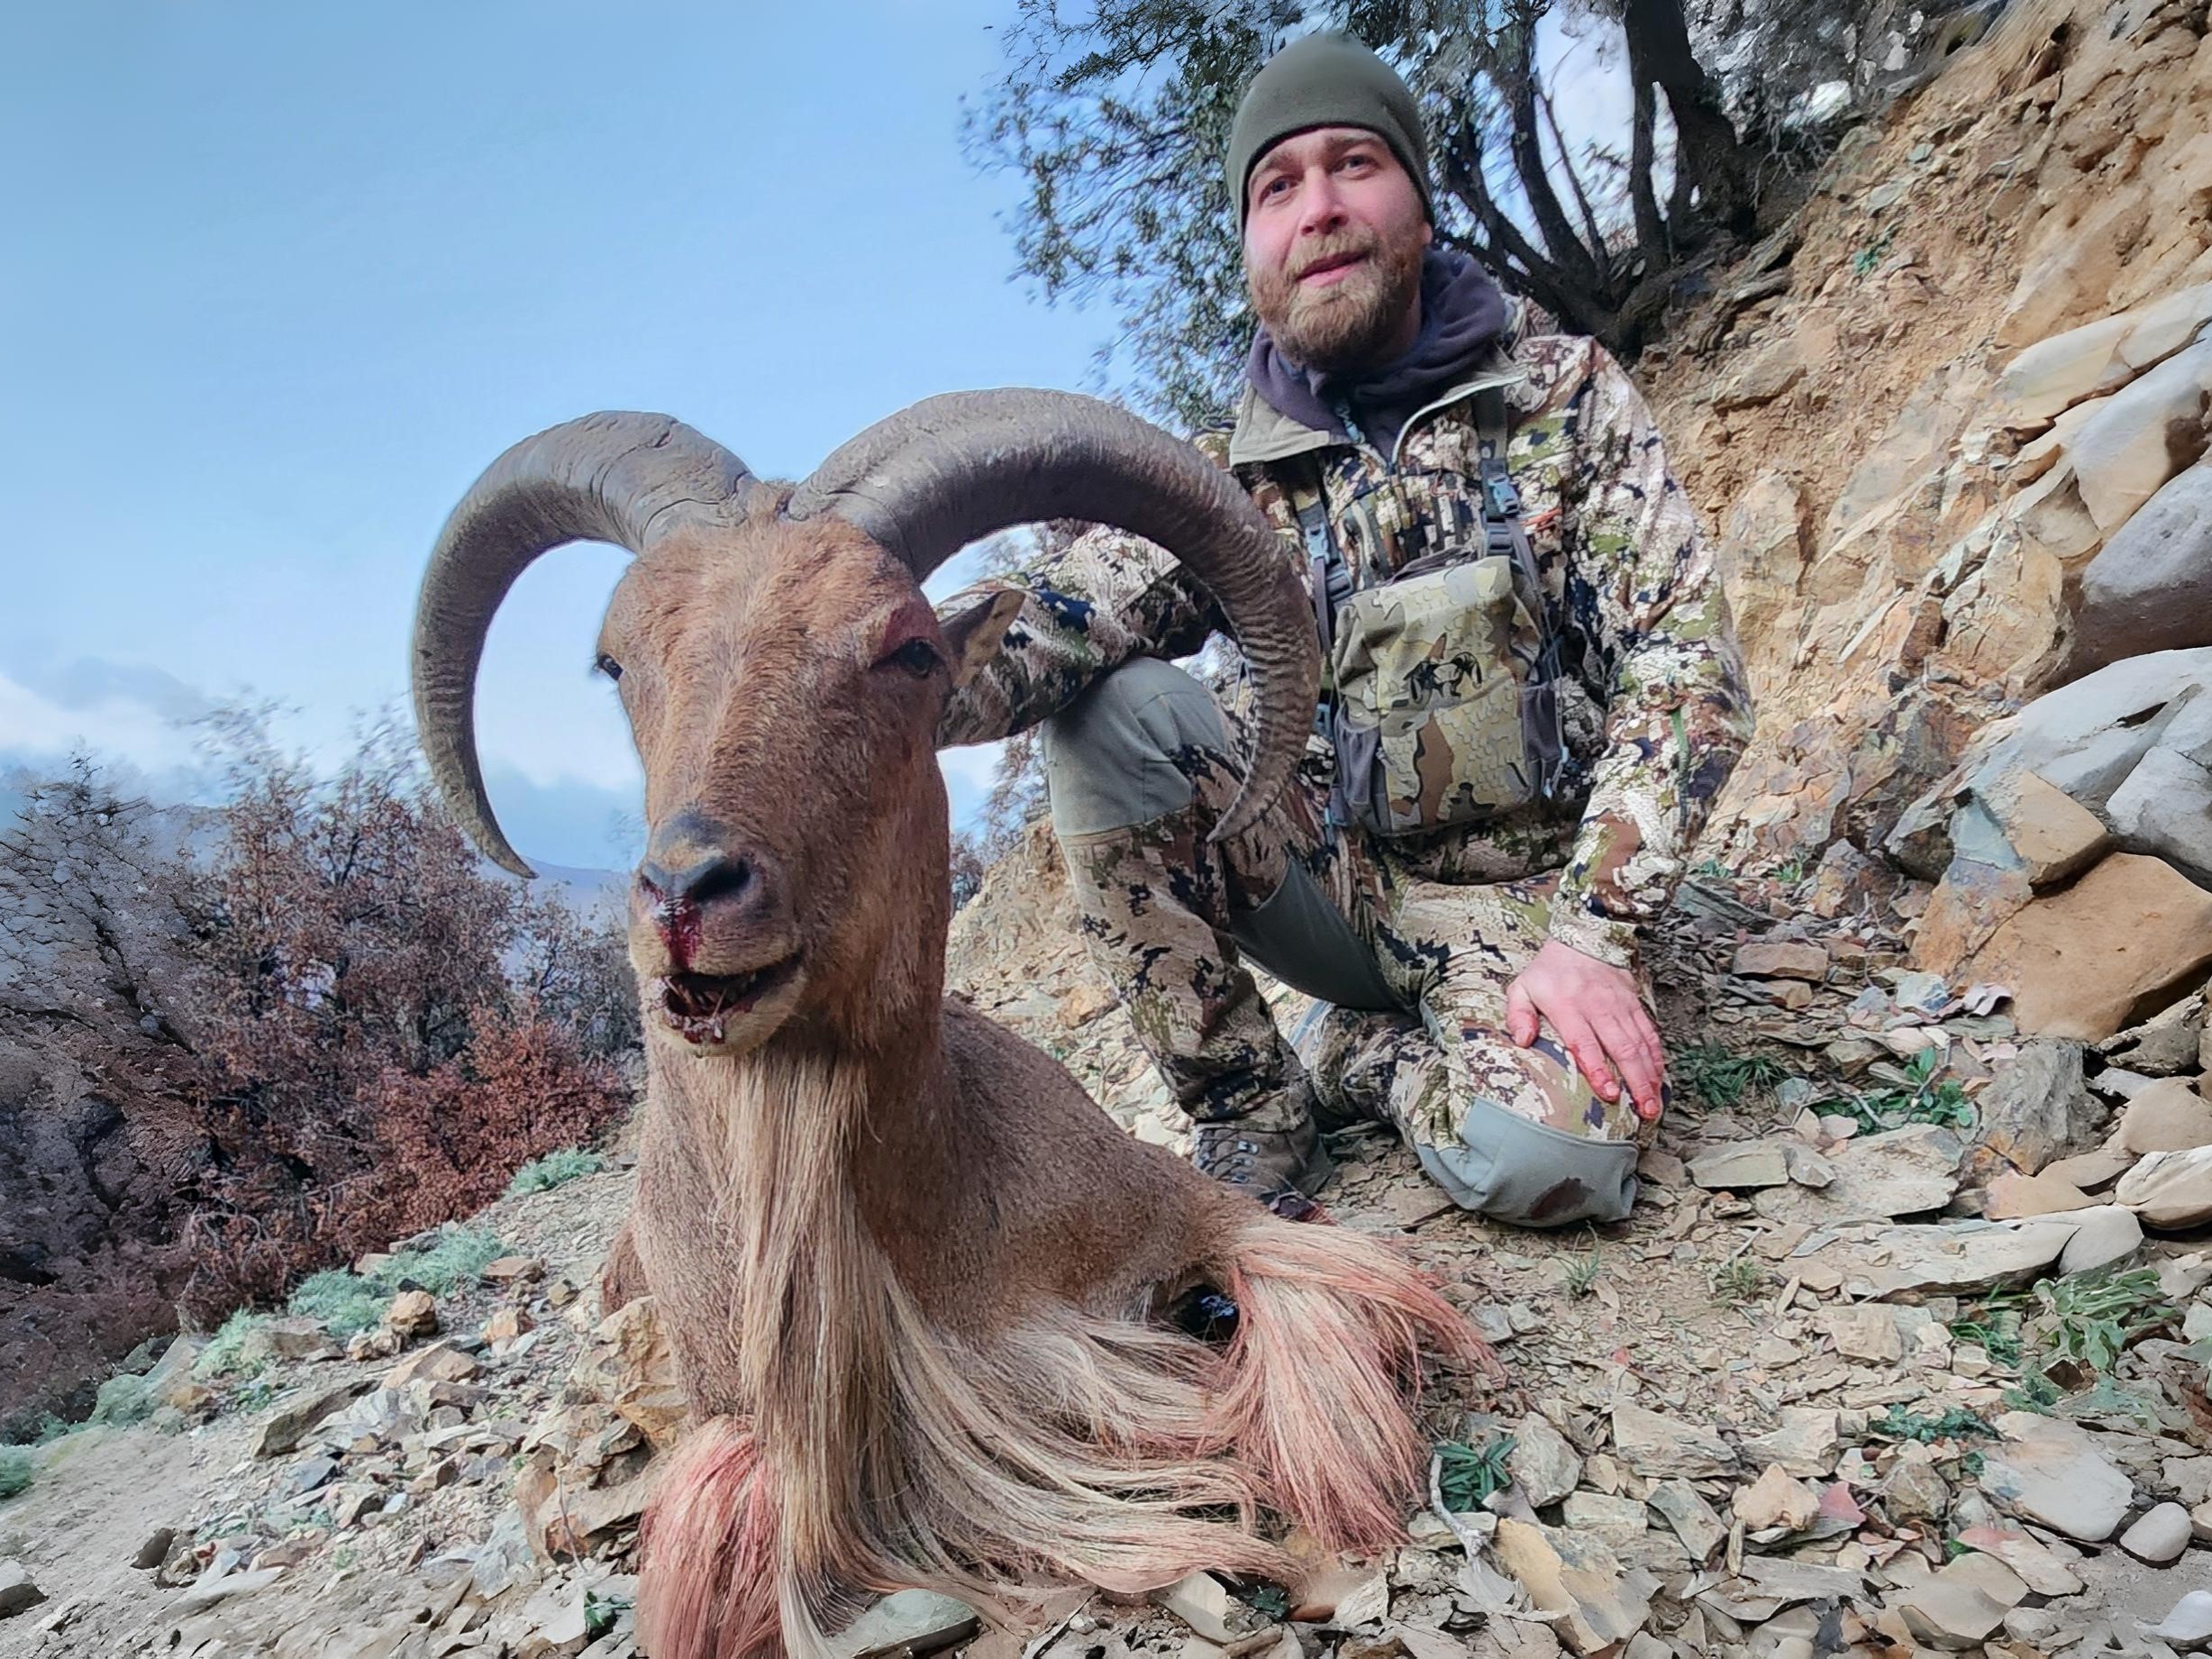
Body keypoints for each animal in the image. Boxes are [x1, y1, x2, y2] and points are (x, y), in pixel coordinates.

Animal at [410, 392, 1494, 1659]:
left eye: (910, 648)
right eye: (619, 658)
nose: (685, 893)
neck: (918, 1217)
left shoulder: (1187, 1212)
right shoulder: (753, 1424)